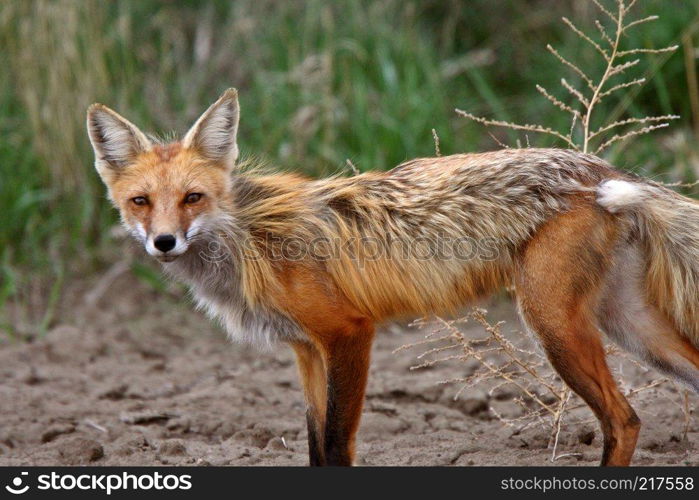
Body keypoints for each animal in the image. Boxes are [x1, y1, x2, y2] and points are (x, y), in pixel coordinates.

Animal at [87, 88, 699, 466]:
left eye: (193, 198)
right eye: (141, 202)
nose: (164, 242)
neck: (254, 238)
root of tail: (600, 169)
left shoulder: (349, 334)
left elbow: (337, 446)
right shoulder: (306, 352)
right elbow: (315, 446)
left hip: (554, 325)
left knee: (622, 420)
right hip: (629, 326)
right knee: (642, 410)